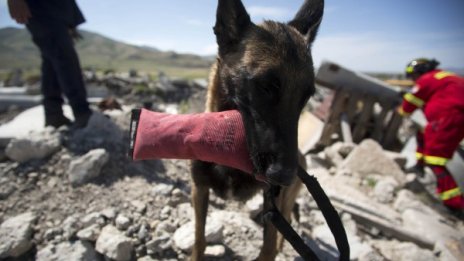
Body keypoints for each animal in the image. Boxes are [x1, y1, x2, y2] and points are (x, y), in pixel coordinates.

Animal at [190, 0, 324, 258]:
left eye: (307, 96)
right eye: (266, 87)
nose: (284, 176)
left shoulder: (272, 206)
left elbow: (268, 249)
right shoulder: (199, 190)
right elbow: (199, 240)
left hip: (286, 201)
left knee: (287, 219)